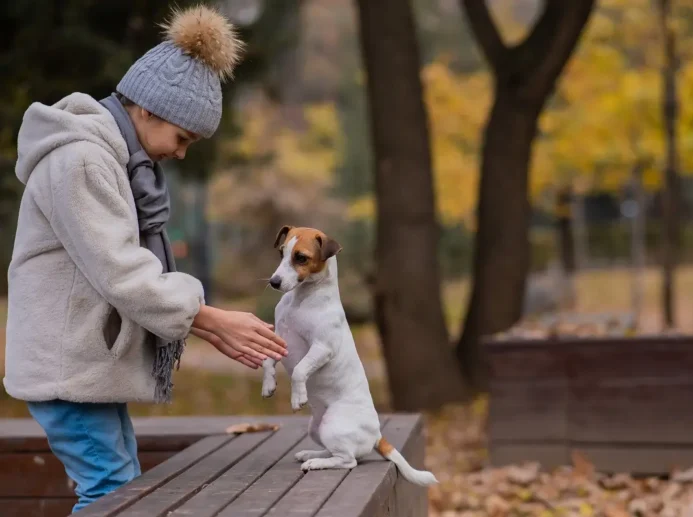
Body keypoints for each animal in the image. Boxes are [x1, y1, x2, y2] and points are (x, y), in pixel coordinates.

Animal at [260, 225, 438, 484]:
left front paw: (297, 397)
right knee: (334, 451)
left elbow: (300, 370)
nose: (274, 282)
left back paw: (316, 463)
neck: (300, 300)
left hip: (332, 426)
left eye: (301, 257)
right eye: (281, 252)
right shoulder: (278, 338)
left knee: (348, 460)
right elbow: (267, 361)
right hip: (317, 428)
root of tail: (377, 435)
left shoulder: (322, 347)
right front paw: (268, 385)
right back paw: (311, 454)